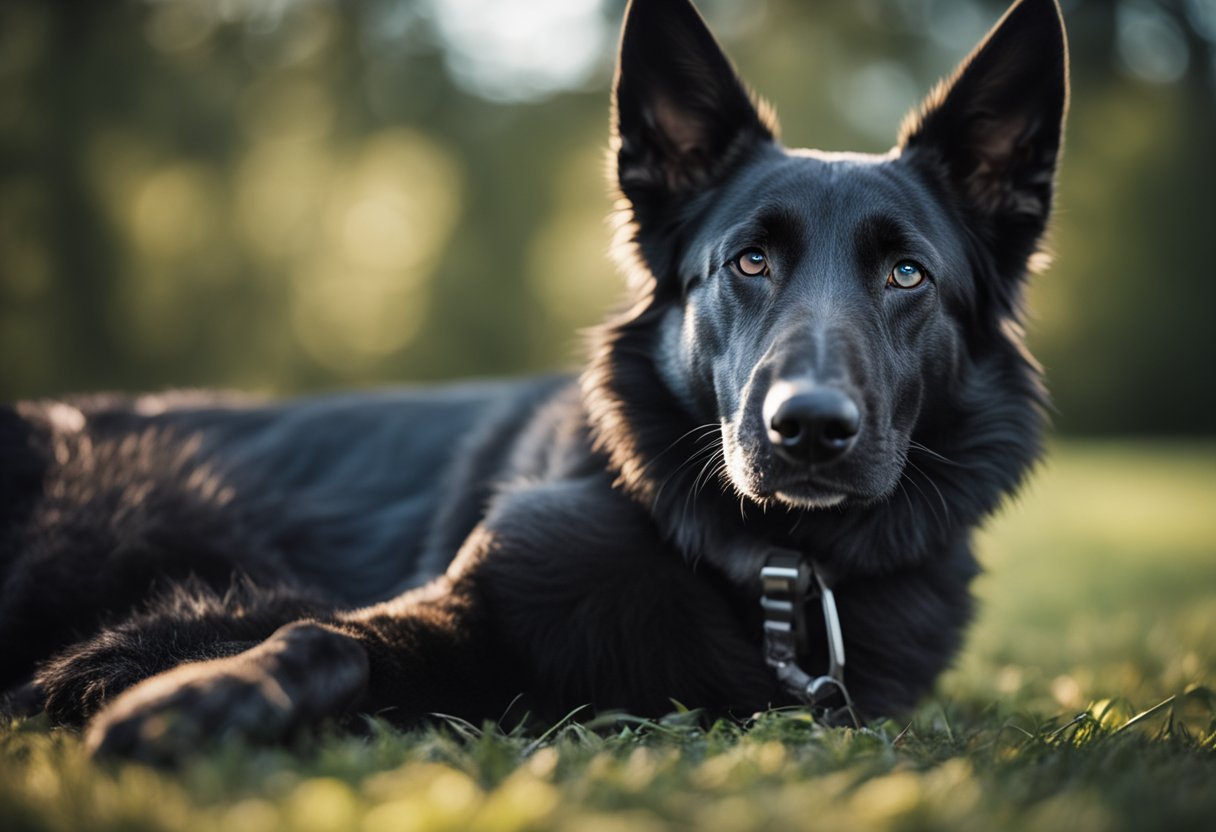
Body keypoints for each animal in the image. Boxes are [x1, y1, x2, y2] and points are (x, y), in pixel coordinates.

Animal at [0, 0, 1065, 759]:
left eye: (907, 275)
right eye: (750, 261)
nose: (807, 428)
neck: (769, 569)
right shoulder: (445, 614)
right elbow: (317, 635)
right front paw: (200, 693)